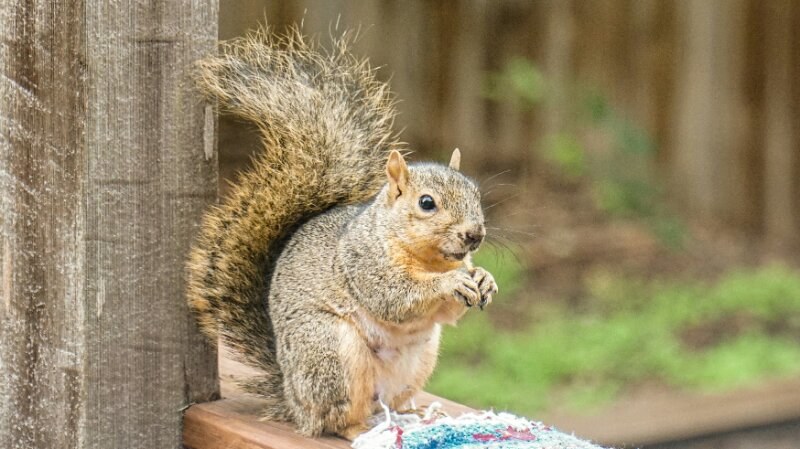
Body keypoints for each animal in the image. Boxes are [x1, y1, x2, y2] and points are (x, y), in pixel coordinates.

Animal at [188, 26, 496, 440]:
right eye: (427, 203)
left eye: (475, 192)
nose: (474, 235)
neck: (429, 260)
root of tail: (293, 399)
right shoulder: (362, 262)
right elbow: (394, 296)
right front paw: (448, 284)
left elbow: (448, 313)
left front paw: (484, 278)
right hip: (332, 354)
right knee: (336, 419)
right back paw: (360, 429)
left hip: (417, 362)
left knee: (385, 403)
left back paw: (410, 415)